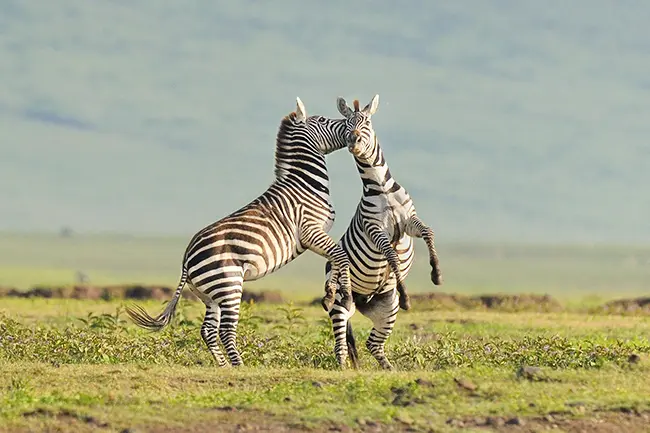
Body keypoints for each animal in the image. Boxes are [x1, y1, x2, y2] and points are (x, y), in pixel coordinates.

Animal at [123, 97, 352, 364]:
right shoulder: (310, 231)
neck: (304, 184)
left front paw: (330, 293)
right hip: (229, 284)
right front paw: (344, 294)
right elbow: (341, 256)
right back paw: (240, 365)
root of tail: (187, 259)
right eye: (324, 120)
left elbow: (335, 259)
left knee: (208, 330)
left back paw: (225, 366)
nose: (350, 127)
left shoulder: (316, 237)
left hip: (209, 294)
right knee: (225, 330)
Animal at [322, 93, 440, 368]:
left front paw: (436, 273)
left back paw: (389, 369)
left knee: (372, 344)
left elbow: (428, 232)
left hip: (387, 306)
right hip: (340, 304)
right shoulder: (375, 229)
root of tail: (360, 302)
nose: (353, 141)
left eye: (366, 123)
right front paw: (407, 294)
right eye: (346, 125)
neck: (382, 188)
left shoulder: (409, 221)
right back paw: (343, 368)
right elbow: (392, 256)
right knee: (341, 343)